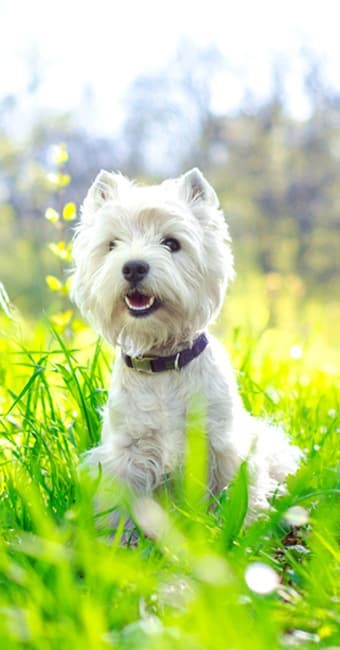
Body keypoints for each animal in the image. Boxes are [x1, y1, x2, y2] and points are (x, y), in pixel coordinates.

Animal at [71, 168, 300, 520]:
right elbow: (119, 508)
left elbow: (238, 494)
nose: (133, 266)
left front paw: (246, 525)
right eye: (112, 244)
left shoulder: (223, 445)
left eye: (171, 243)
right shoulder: (126, 454)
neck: (162, 363)